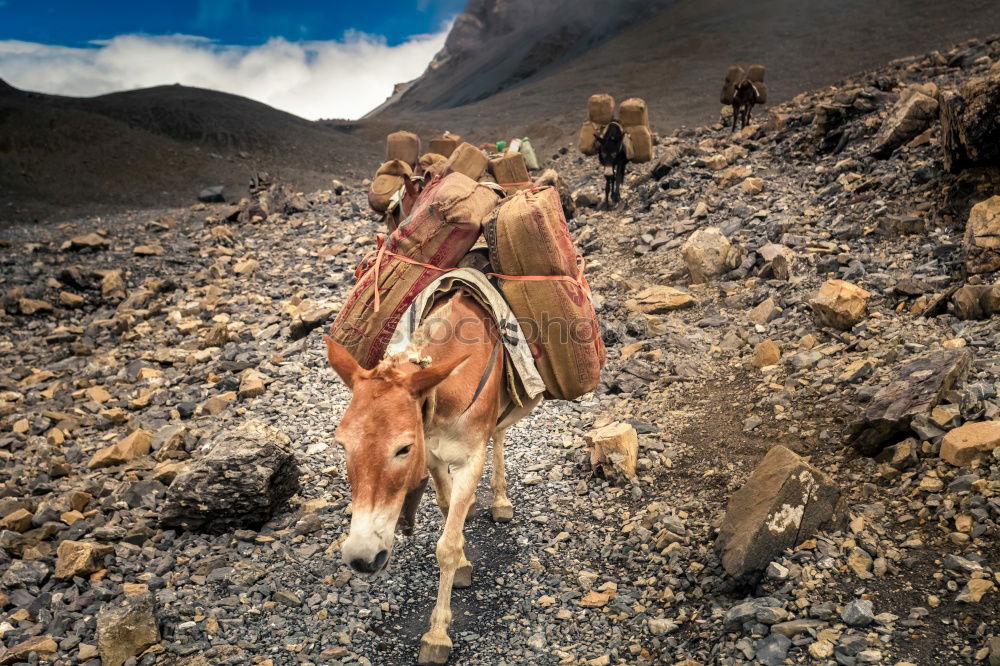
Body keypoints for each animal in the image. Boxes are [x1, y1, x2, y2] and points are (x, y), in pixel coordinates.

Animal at [322, 294, 540, 660]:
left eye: (404, 449)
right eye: (342, 444)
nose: (361, 557)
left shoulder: (470, 460)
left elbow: (446, 545)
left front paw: (437, 634)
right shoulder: (434, 453)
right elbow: (446, 504)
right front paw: (464, 560)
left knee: (500, 432)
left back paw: (500, 500)